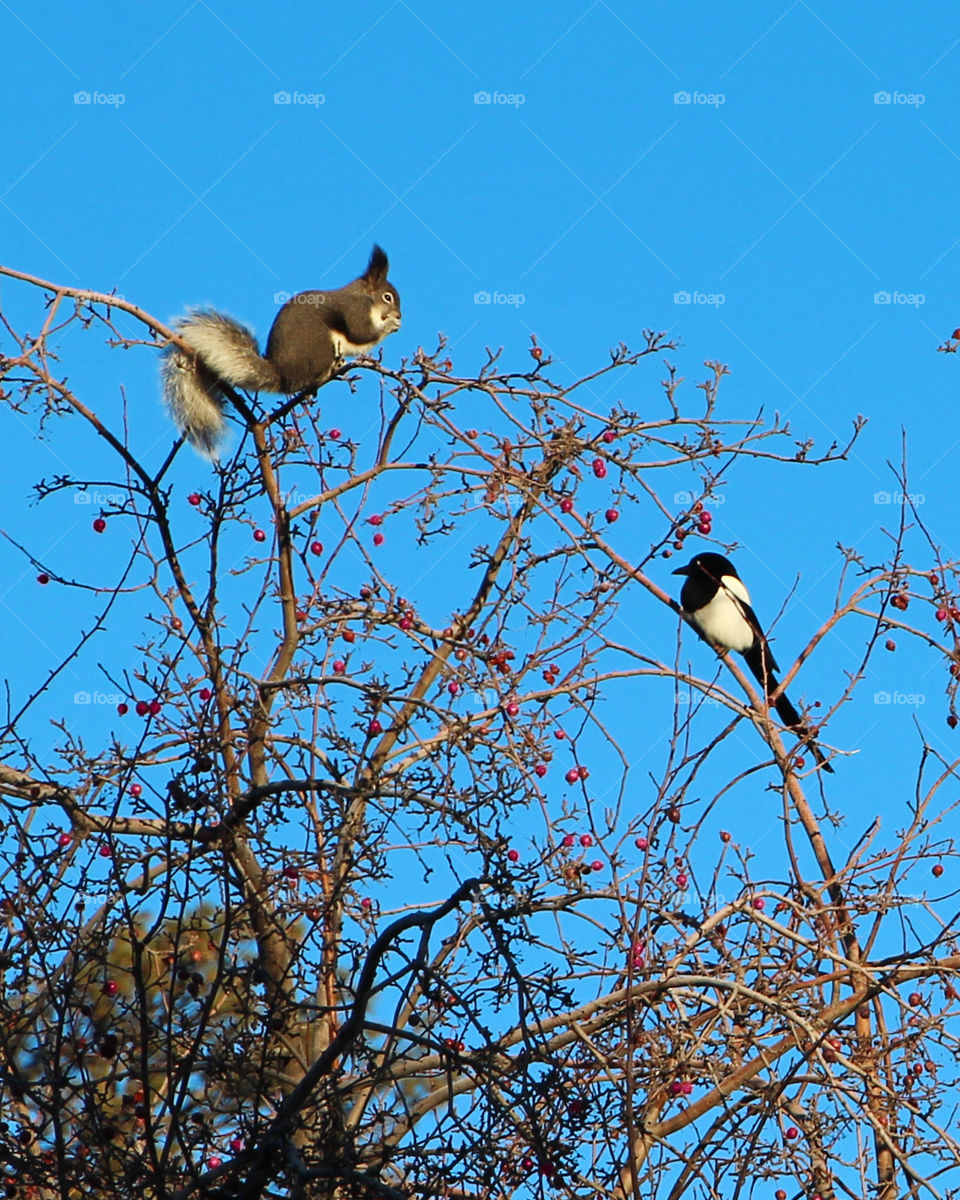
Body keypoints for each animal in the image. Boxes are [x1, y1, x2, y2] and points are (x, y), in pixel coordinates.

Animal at [163, 243, 403, 453]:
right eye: (387, 297)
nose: (400, 315)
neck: (365, 298)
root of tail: (283, 373)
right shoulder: (354, 311)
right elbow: (361, 333)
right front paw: (389, 325)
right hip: (320, 345)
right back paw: (327, 372)